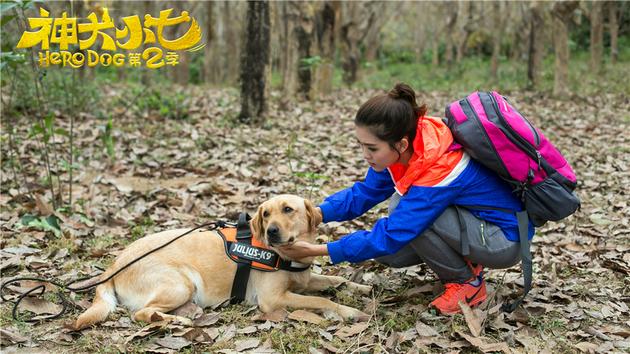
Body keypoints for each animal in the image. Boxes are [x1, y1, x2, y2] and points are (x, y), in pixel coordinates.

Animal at [72, 194, 372, 330]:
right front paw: (348, 311)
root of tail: (114, 264)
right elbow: (321, 300)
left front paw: (361, 288)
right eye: (265, 214)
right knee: (142, 314)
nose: (272, 231)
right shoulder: (273, 299)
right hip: (180, 283)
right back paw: (177, 321)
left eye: (288, 209)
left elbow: (336, 280)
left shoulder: (305, 280)